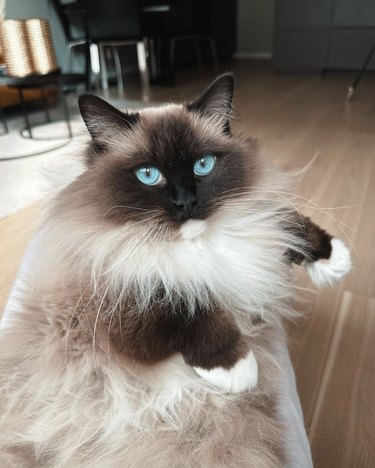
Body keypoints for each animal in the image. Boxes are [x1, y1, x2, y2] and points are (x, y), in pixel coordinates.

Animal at [0, 75, 352, 466]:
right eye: (148, 175)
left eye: (203, 165)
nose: (187, 201)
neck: (193, 247)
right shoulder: (114, 300)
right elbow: (183, 302)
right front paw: (238, 369)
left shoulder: (256, 226)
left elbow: (284, 220)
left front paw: (334, 259)